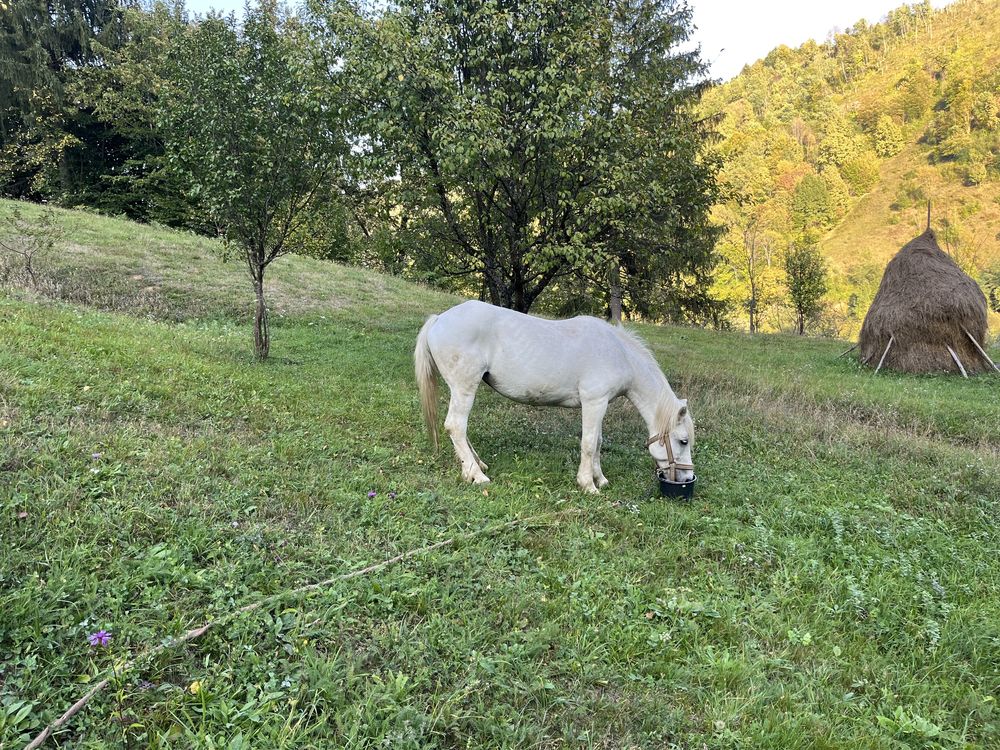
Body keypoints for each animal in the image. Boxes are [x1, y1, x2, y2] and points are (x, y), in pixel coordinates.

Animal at [414, 300, 696, 494]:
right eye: (683, 441)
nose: (685, 479)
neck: (618, 352)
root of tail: (439, 319)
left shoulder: (600, 404)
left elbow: (598, 442)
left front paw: (601, 479)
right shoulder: (594, 402)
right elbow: (589, 443)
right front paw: (588, 485)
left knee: (460, 429)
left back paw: (475, 466)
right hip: (464, 388)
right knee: (455, 426)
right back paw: (476, 475)